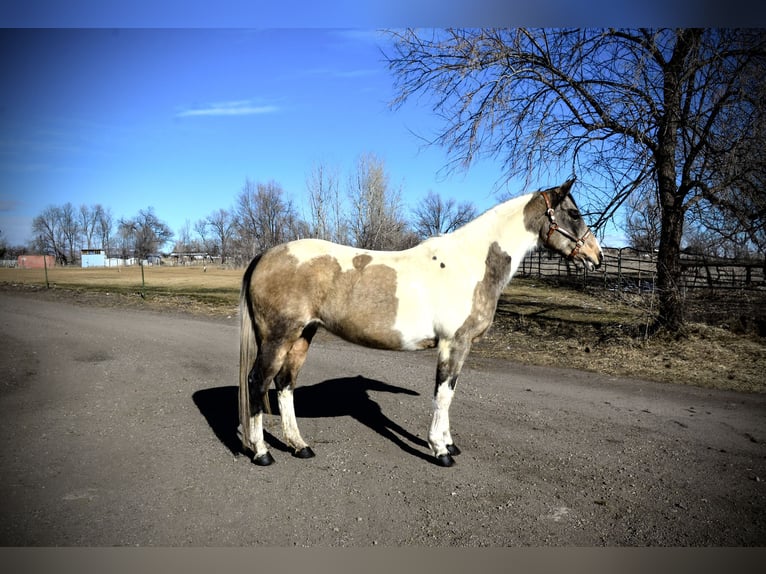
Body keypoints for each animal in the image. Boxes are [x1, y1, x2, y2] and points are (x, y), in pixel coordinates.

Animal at [240, 179, 608, 468]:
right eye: (575, 214)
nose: (597, 256)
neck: (469, 264)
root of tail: (265, 255)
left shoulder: (461, 347)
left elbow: (450, 392)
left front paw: (449, 443)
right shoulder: (453, 344)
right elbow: (443, 394)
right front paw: (440, 450)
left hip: (302, 335)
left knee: (284, 384)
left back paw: (299, 446)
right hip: (278, 337)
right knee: (258, 382)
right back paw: (262, 453)